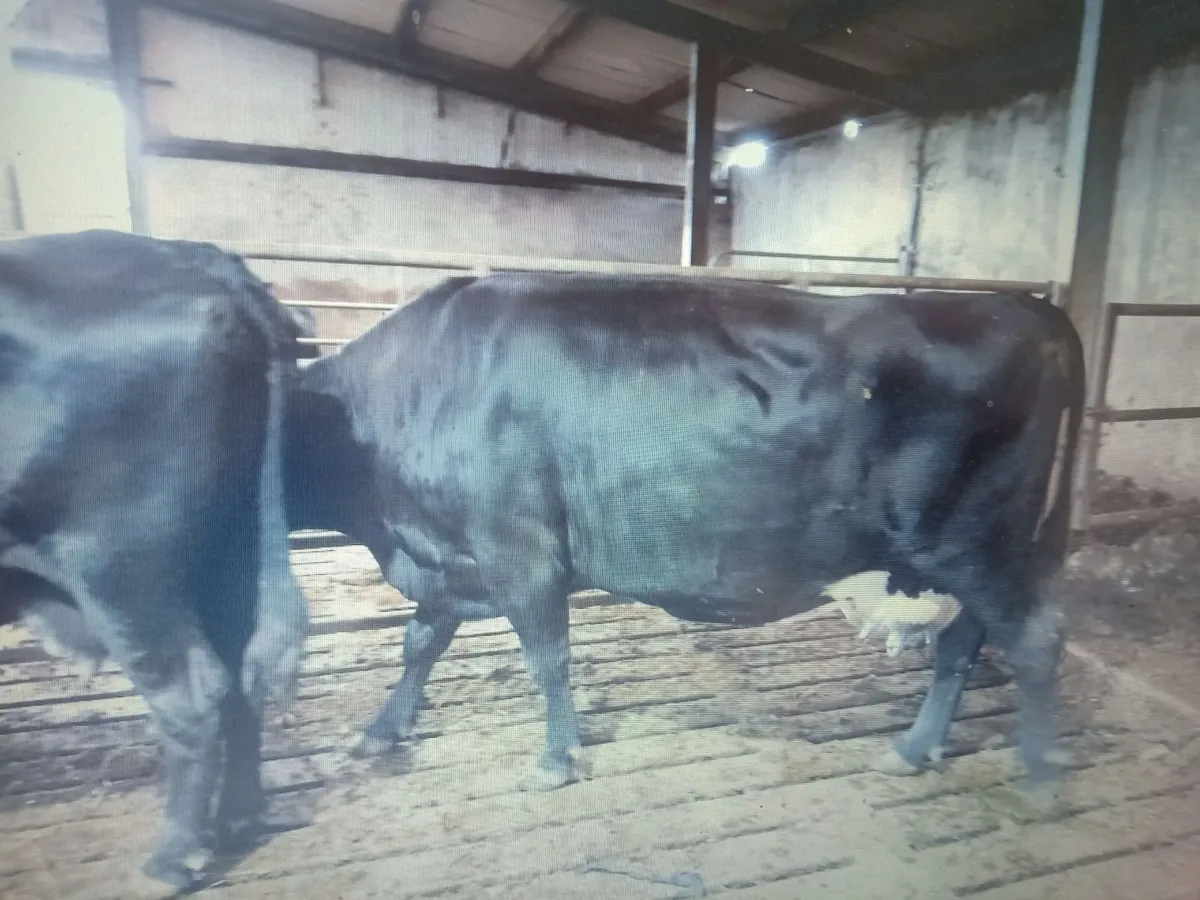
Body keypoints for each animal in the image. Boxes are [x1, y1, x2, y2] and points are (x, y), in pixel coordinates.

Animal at [0, 230, 314, 887]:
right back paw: (235, 822)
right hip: (226, 557)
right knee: (243, 673)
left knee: (194, 694)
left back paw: (170, 862)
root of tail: (199, 259)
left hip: (120, 571)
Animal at [283, 272, 1083, 791]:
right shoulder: (453, 556)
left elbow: (548, 658)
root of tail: (1022, 304)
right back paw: (915, 748)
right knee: (964, 644)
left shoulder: (520, 551)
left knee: (1036, 638)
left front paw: (556, 760)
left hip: (976, 544)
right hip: (971, 552)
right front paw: (381, 731)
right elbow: (420, 641)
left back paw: (1038, 776)